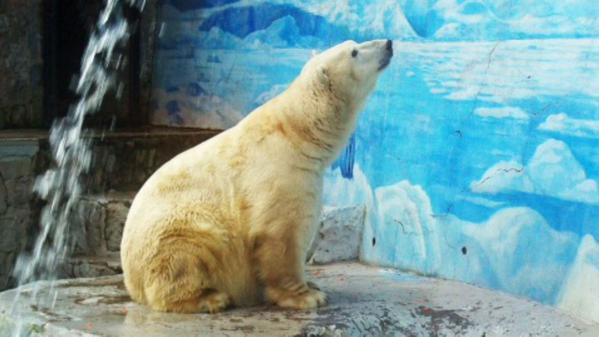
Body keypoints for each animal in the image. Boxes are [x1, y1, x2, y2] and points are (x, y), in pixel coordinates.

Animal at [121, 39, 394, 312]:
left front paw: (313, 285)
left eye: (354, 45)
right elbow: (280, 231)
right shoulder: (279, 169)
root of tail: (132, 282)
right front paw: (307, 296)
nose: (388, 44)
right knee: (188, 248)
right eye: (354, 52)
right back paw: (210, 298)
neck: (298, 132)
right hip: (177, 229)